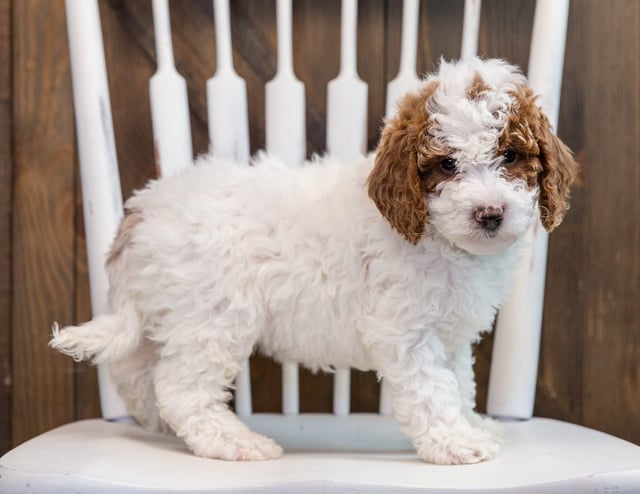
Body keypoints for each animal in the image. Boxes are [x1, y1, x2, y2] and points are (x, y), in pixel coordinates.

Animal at [51, 58, 580, 464]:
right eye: (447, 164)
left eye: (510, 155)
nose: (490, 213)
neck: (436, 238)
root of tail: (144, 209)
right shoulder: (404, 332)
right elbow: (433, 391)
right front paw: (457, 443)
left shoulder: (450, 333)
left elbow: (460, 384)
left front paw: (474, 426)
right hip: (213, 315)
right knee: (182, 388)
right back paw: (234, 443)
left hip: (168, 312)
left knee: (136, 368)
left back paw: (156, 422)